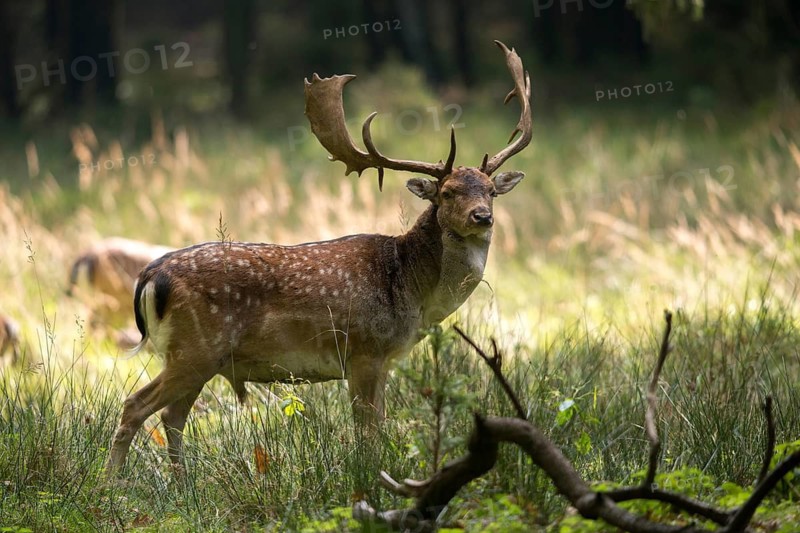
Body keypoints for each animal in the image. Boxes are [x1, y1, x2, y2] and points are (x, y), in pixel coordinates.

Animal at [107, 40, 532, 472]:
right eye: (447, 192)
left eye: (490, 191)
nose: (482, 216)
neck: (411, 291)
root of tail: (151, 276)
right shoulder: (363, 349)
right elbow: (367, 432)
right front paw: (367, 474)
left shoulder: (384, 360)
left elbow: (378, 425)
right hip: (195, 348)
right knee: (135, 405)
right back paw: (114, 482)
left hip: (199, 357)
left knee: (172, 416)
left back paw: (179, 482)